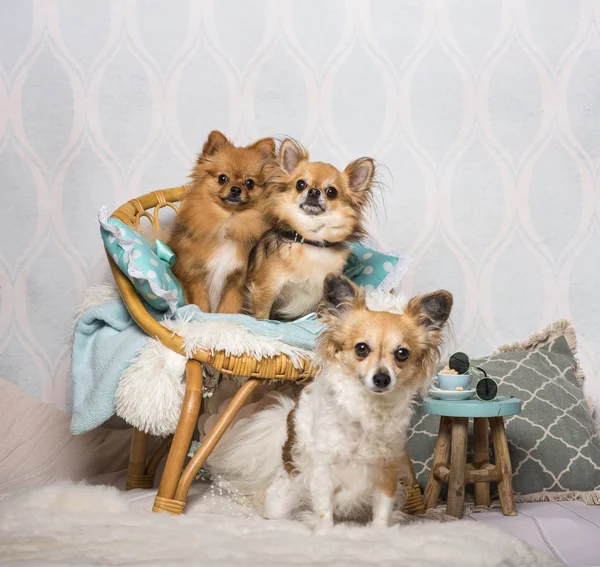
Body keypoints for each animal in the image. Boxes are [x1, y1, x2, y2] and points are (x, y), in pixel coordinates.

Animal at [169, 131, 276, 312]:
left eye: (250, 183)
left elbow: (228, 309)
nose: (235, 189)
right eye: (222, 178)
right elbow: (200, 305)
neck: (229, 222)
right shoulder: (195, 276)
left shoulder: (237, 282)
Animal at [244, 140, 376, 322]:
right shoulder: (265, 290)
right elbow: (262, 317)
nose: (313, 191)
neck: (311, 240)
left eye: (331, 192)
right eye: (300, 184)